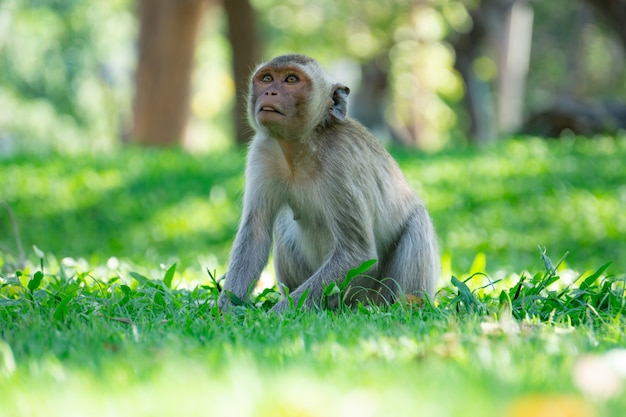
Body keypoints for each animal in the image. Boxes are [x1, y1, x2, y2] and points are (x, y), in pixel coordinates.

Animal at [217, 52, 436, 312]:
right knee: (281, 223)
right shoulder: (263, 151)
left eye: (291, 79)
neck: (302, 144)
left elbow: (357, 253)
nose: (270, 92)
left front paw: (274, 315)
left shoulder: (340, 162)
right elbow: (256, 233)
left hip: (373, 294)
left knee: (417, 221)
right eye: (267, 78)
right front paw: (225, 310)